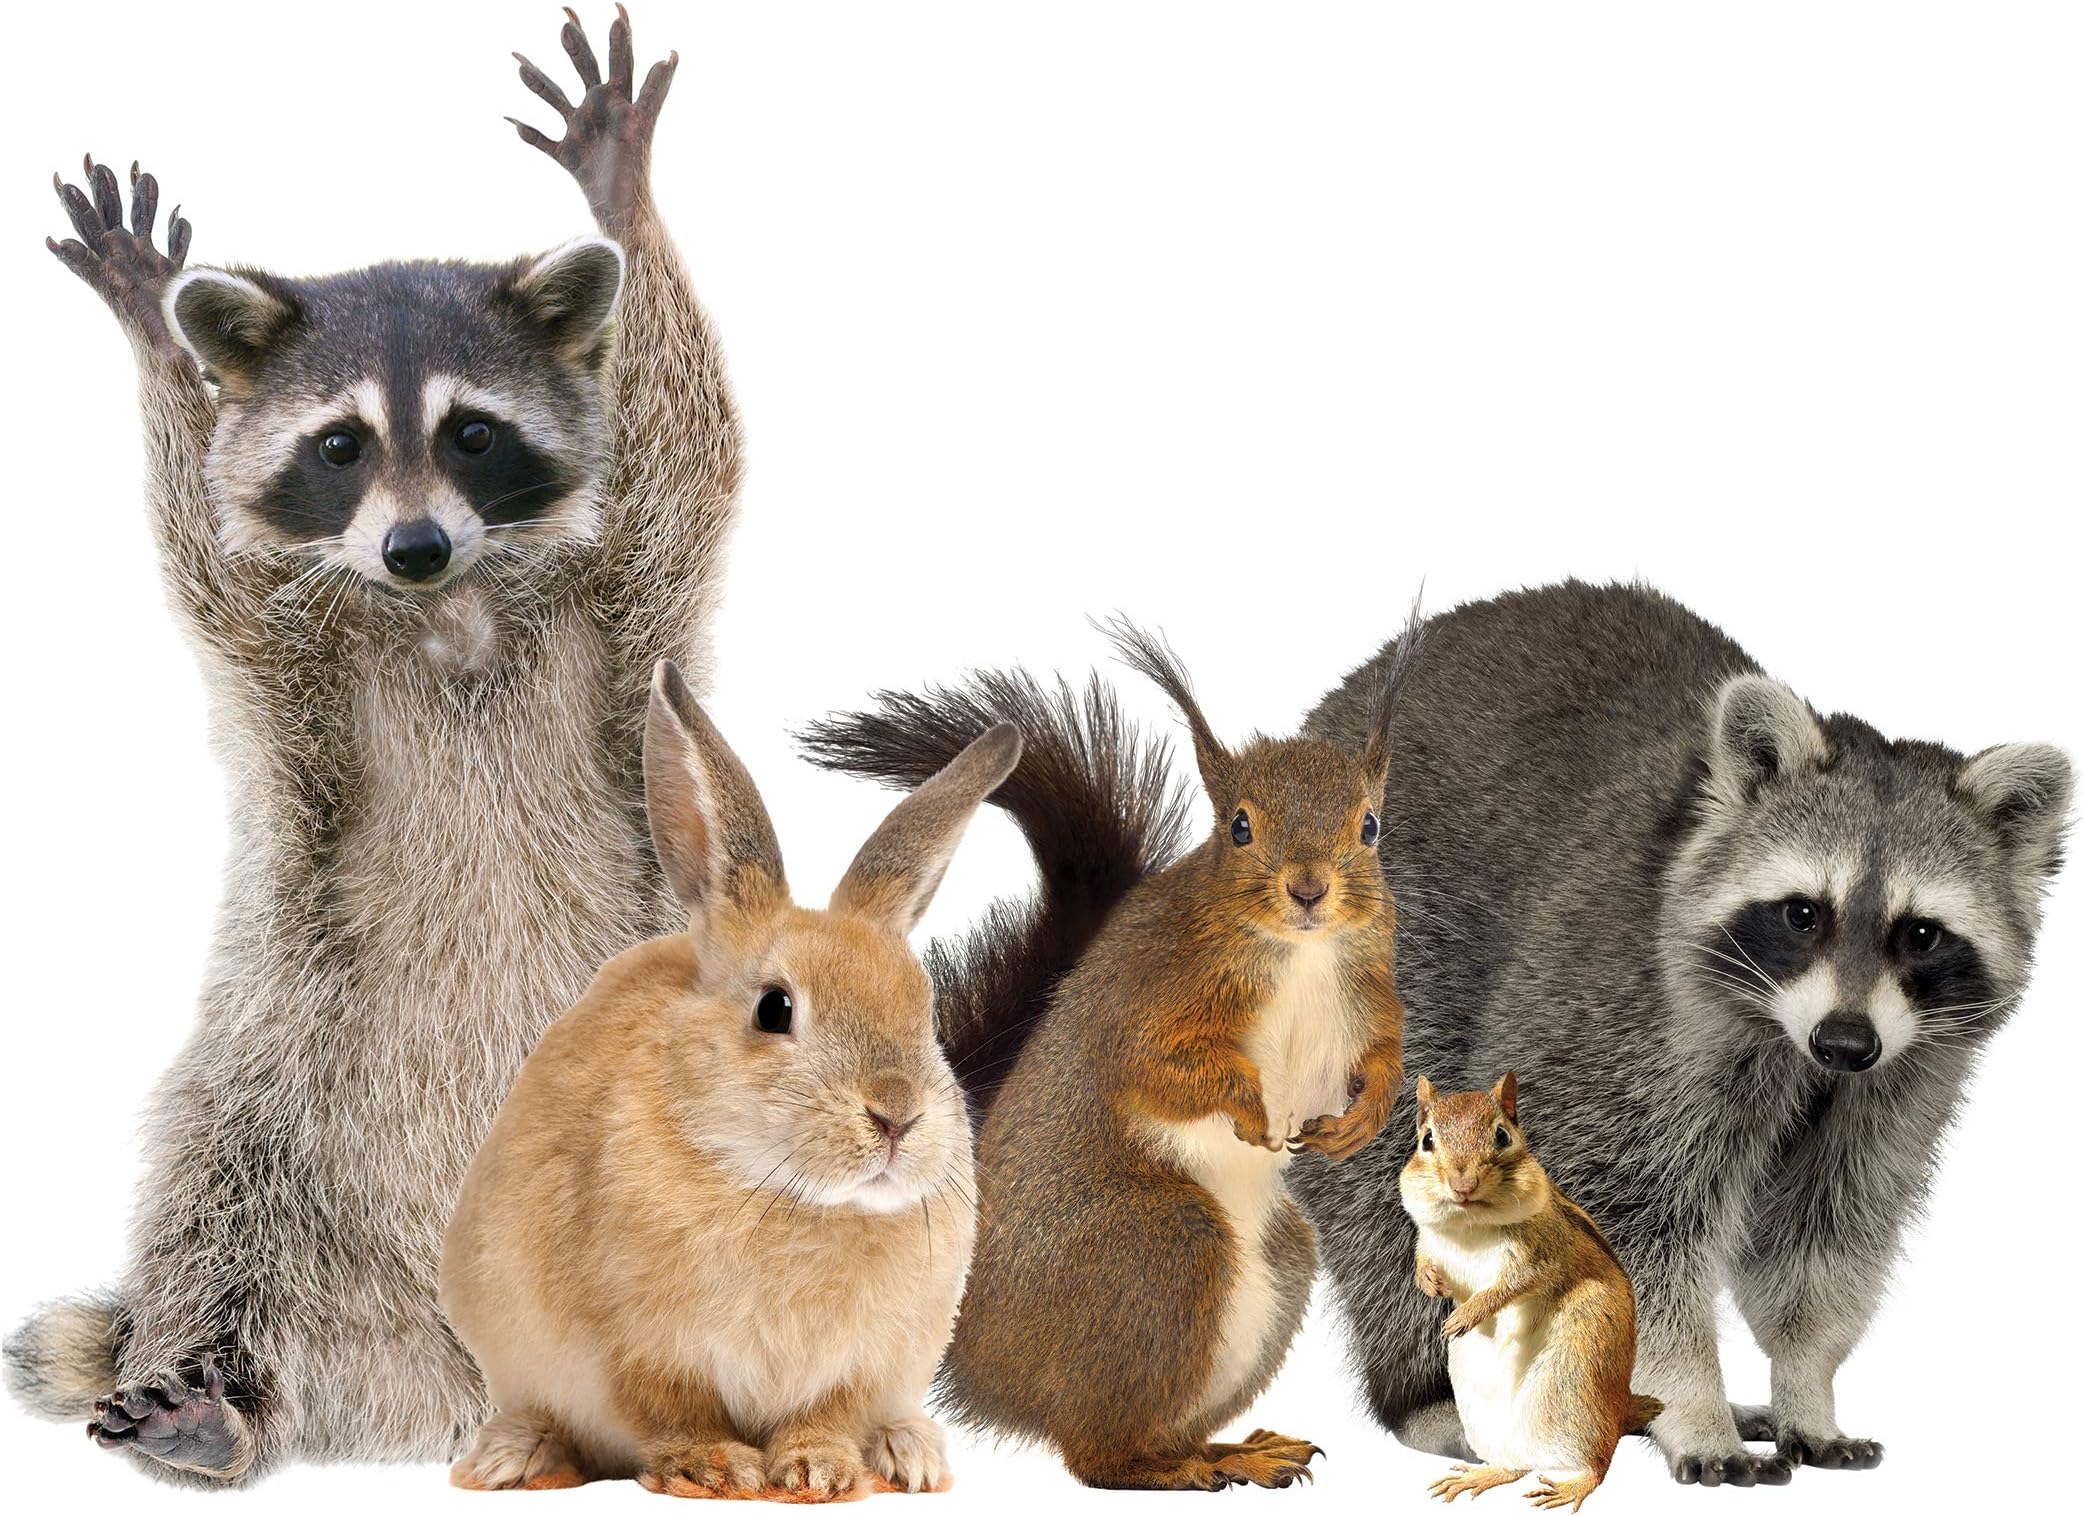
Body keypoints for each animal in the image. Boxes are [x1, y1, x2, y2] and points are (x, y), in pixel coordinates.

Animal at [5, 11, 740, 1485]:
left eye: (472, 432)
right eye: (339, 444)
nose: (412, 542)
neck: (442, 611)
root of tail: (444, 1392)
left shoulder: (625, 625)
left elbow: (692, 453)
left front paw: (622, 193)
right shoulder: (291, 658)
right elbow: (207, 548)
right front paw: (157, 337)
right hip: (275, 1070)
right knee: (210, 1206)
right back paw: (215, 1399)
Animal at [1288, 581, 2070, 1488]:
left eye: (1919, 935)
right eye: (1803, 914)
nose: (1844, 1043)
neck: (1789, 1039)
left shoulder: (1901, 1078)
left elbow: (1826, 1232)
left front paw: (1806, 1384)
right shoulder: (1618, 1020)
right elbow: (1616, 1219)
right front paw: (1693, 1404)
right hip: (1361, 967)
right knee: (1383, 1180)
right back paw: (1434, 1397)